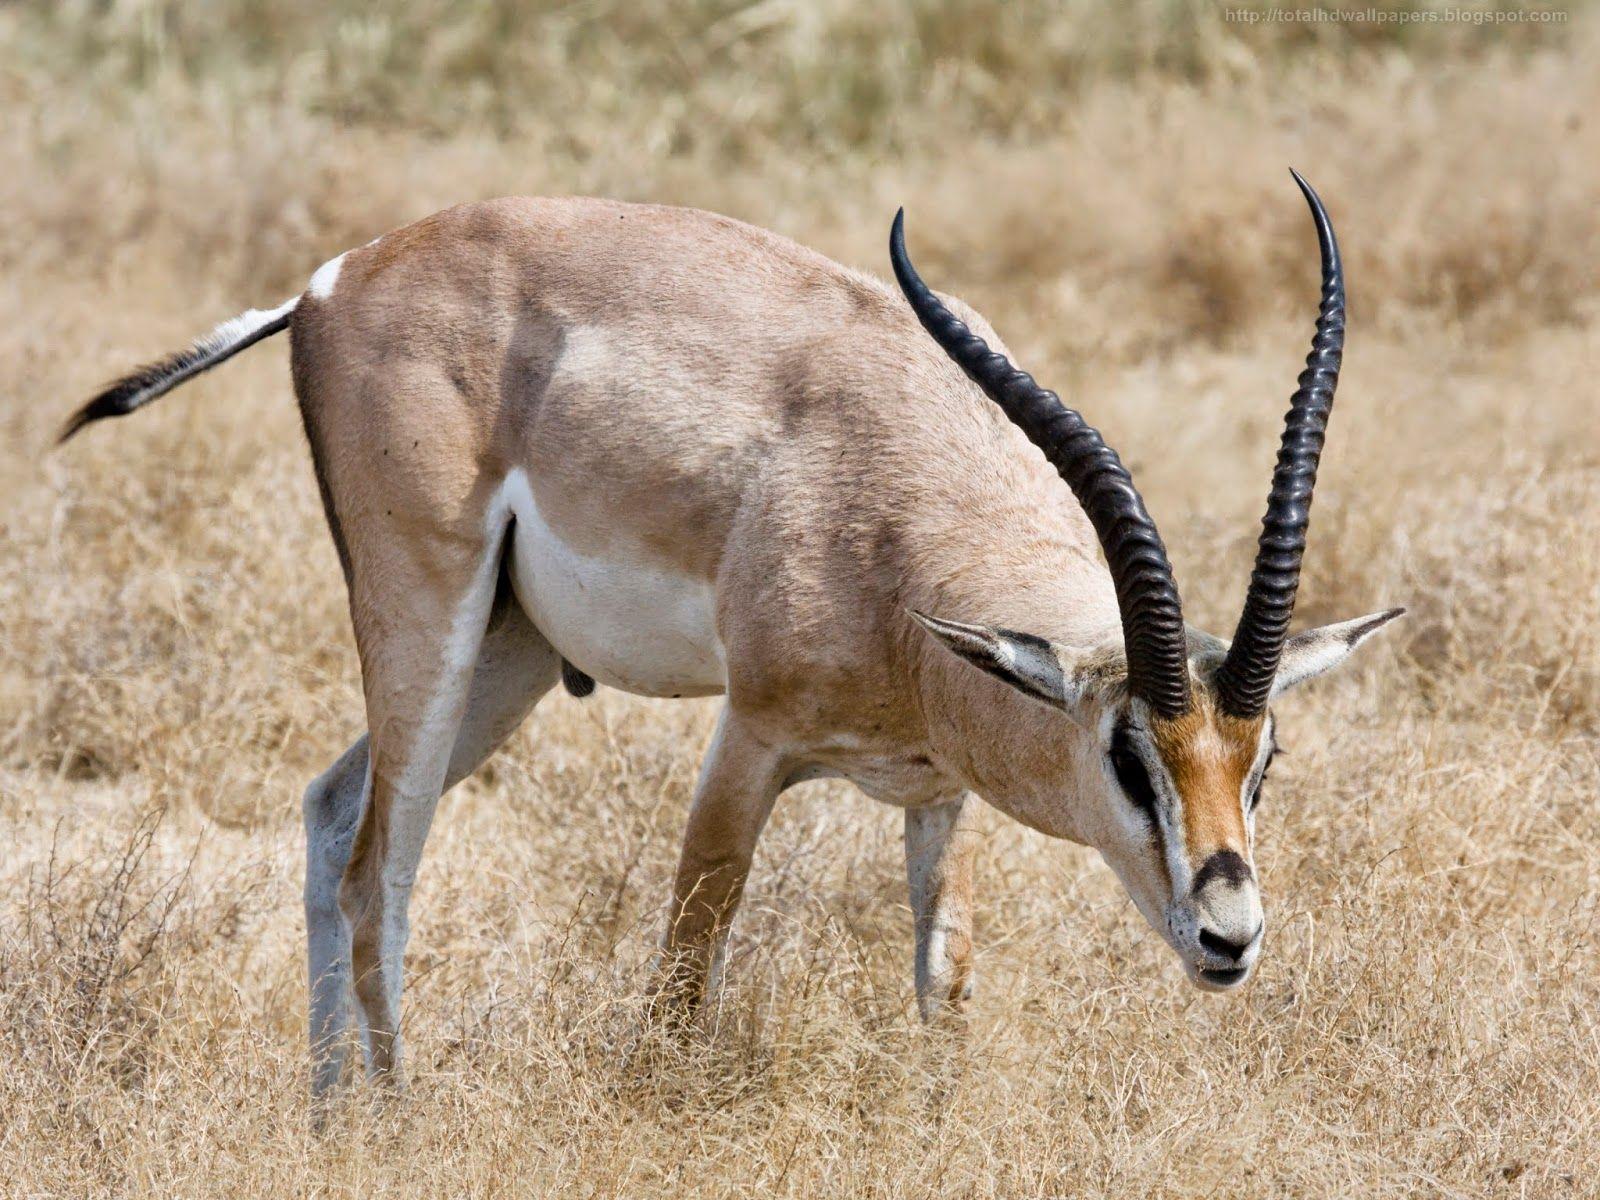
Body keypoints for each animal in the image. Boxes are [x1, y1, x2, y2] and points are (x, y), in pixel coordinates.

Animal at [61, 172, 1402, 1096]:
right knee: (374, 868)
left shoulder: (938, 793)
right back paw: (395, 1117)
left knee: (335, 807)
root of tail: (333, 275)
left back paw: (329, 1113)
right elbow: (682, 966)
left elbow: (944, 987)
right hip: (426, 618)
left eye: (1262, 760)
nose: (1228, 938)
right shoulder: (747, 741)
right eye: (1129, 756)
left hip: (508, 651)